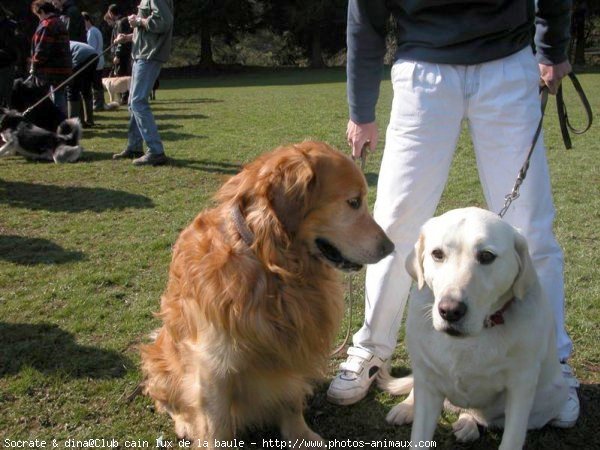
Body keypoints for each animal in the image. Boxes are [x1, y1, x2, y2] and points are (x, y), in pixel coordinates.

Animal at [382, 208, 568, 450]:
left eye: (487, 256)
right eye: (437, 254)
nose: (450, 311)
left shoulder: (521, 386)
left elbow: (512, 438)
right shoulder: (427, 378)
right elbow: (419, 436)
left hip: (554, 395)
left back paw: (468, 424)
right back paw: (406, 407)